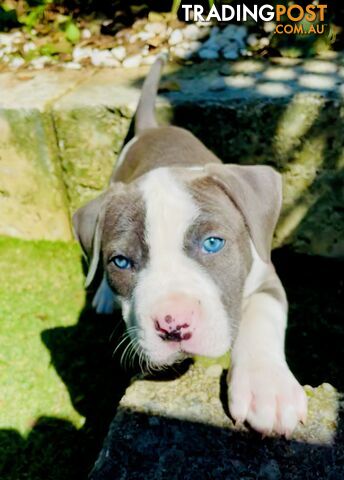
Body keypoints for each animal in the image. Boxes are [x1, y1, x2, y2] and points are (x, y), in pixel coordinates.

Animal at [72, 54, 306, 436]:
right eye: (120, 262)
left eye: (213, 243)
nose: (173, 325)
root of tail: (151, 128)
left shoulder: (265, 275)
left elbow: (262, 317)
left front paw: (267, 389)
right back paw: (104, 296)